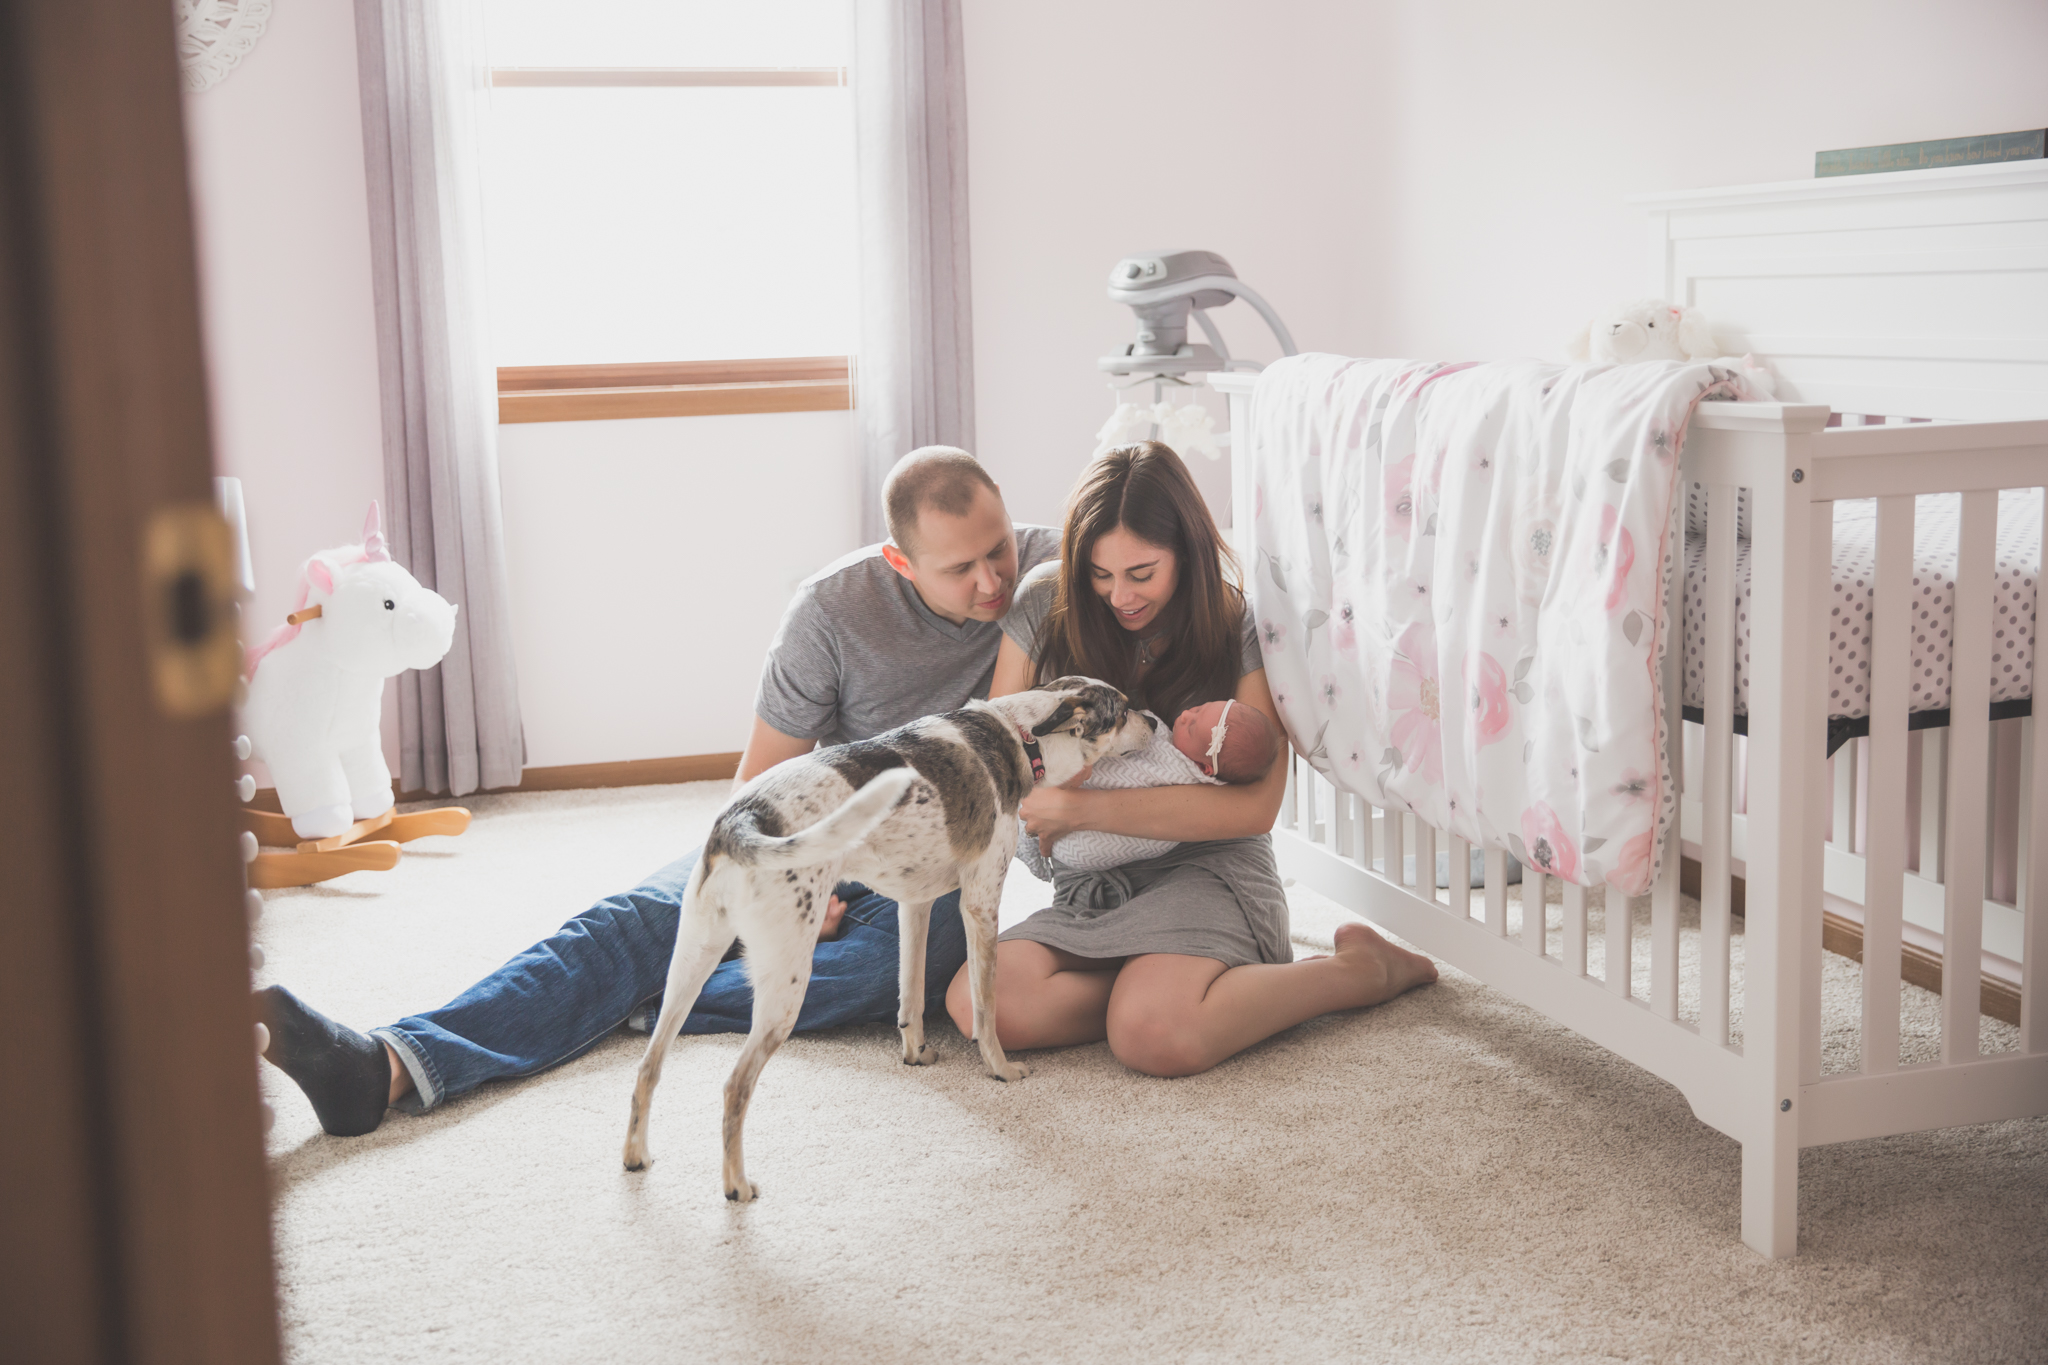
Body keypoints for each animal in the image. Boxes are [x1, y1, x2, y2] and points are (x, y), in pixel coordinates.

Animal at [614, 679, 1155, 1203]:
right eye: (1124, 710)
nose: (1154, 719)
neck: (1018, 735)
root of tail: (743, 817)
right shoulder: (980, 905)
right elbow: (986, 1010)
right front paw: (1000, 1069)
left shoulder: (914, 905)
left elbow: (909, 996)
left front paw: (916, 1053)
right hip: (787, 980)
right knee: (734, 1087)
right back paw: (736, 1187)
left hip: (691, 962)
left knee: (647, 1066)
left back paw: (636, 1156)